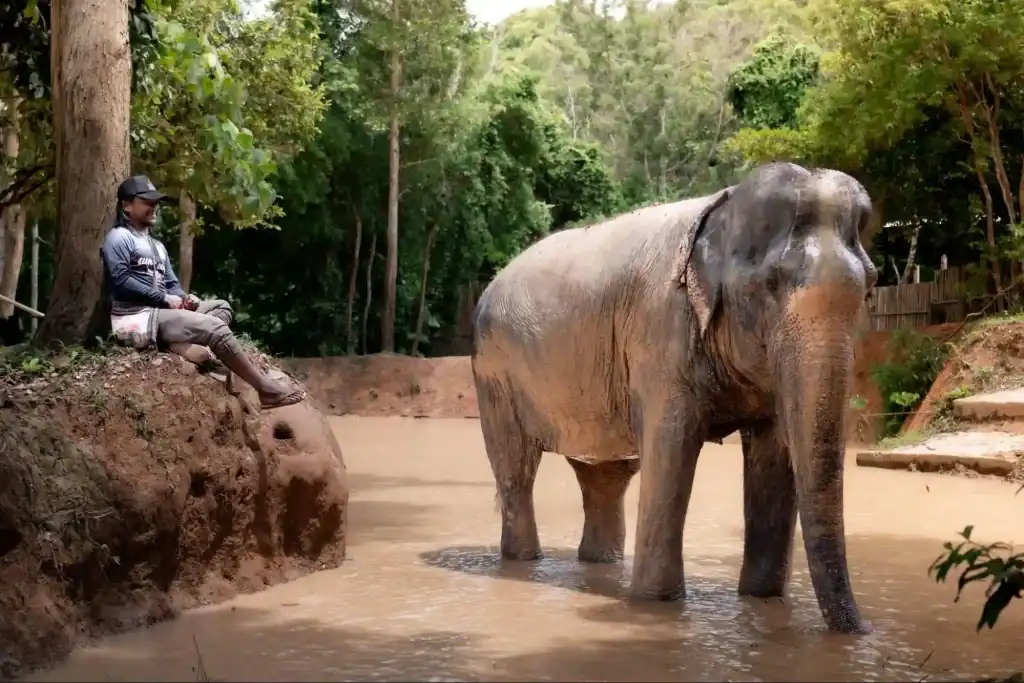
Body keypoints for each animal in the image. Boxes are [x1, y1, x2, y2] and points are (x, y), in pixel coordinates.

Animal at [470, 162, 878, 634]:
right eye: (770, 286)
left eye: (869, 287)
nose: (866, 632)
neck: (724, 208)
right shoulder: (661, 331)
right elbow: (672, 447)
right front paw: (656, 605)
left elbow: (774, 454)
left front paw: (761, 600)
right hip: (494, 375)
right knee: (516, 469)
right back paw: (523, 563)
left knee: (605, 477)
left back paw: (599, 565)